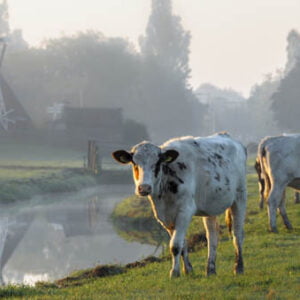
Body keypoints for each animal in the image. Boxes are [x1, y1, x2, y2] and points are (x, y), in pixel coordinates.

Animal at [111, 132, 247, 278]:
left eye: (157, 163)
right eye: (134, 163)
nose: (144, 188)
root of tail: (226, 135)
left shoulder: (185, 211)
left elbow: (175, 245)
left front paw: (174, 272)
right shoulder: (164, 216)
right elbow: (182, 244)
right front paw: (187, 270)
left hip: (240, 196)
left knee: (237, 233)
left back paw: (238, 267)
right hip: (209, 206)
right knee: (212, 235)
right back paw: (210, 270)